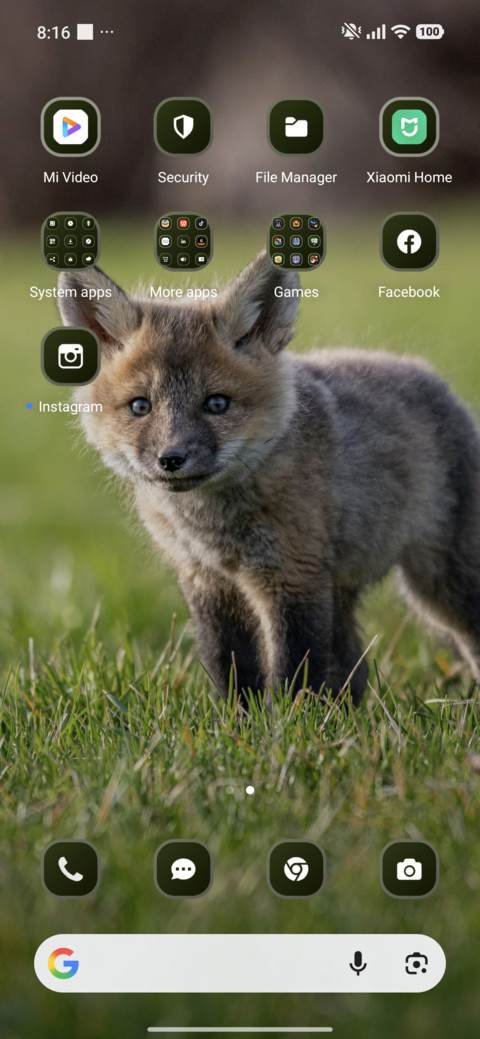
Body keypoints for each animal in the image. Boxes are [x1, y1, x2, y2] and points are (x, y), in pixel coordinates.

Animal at [57, 251, 480, 705]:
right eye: (140, 406)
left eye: (217, 404)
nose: (171, 459)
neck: (213, 527)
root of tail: (430, 376)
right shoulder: (207, 582)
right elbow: (230, 667)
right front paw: (238, 721)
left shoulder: (293, 576)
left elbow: (294, 671)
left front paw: (294, 722)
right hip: (346, 590)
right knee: (354, 666)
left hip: (442, 586)